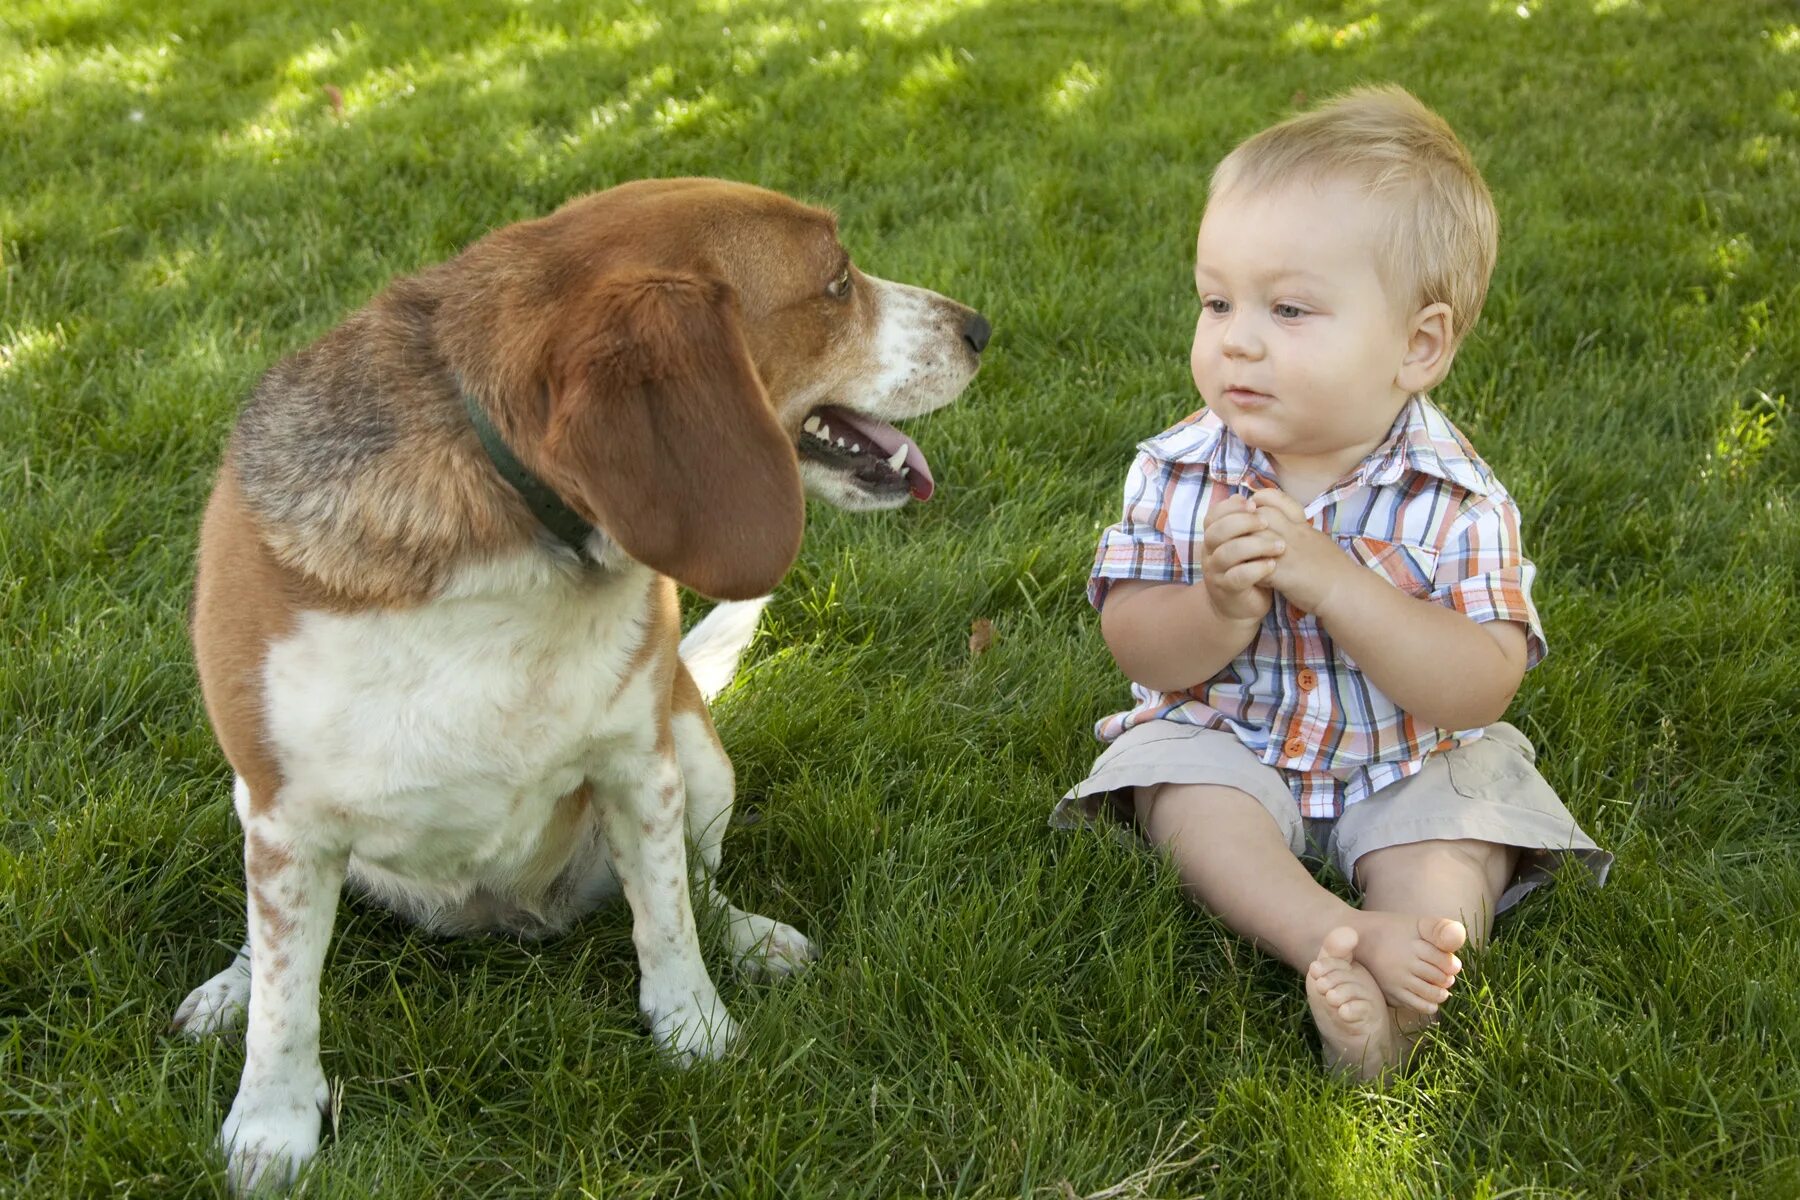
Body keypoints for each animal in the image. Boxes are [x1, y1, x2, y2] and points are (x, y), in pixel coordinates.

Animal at [175, 180, 993, 1194]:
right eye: (838, 282)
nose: (980, 327)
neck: (519, 543)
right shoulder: (286, 820)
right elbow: (289, 1002)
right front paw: (271, 1125)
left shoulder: (639, 763)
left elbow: (668, 920)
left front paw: (697, 1035)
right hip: (247, 802)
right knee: (269, 945)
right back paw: (228, 987)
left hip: (695, 749)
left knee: (698, 882)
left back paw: (748, 936)